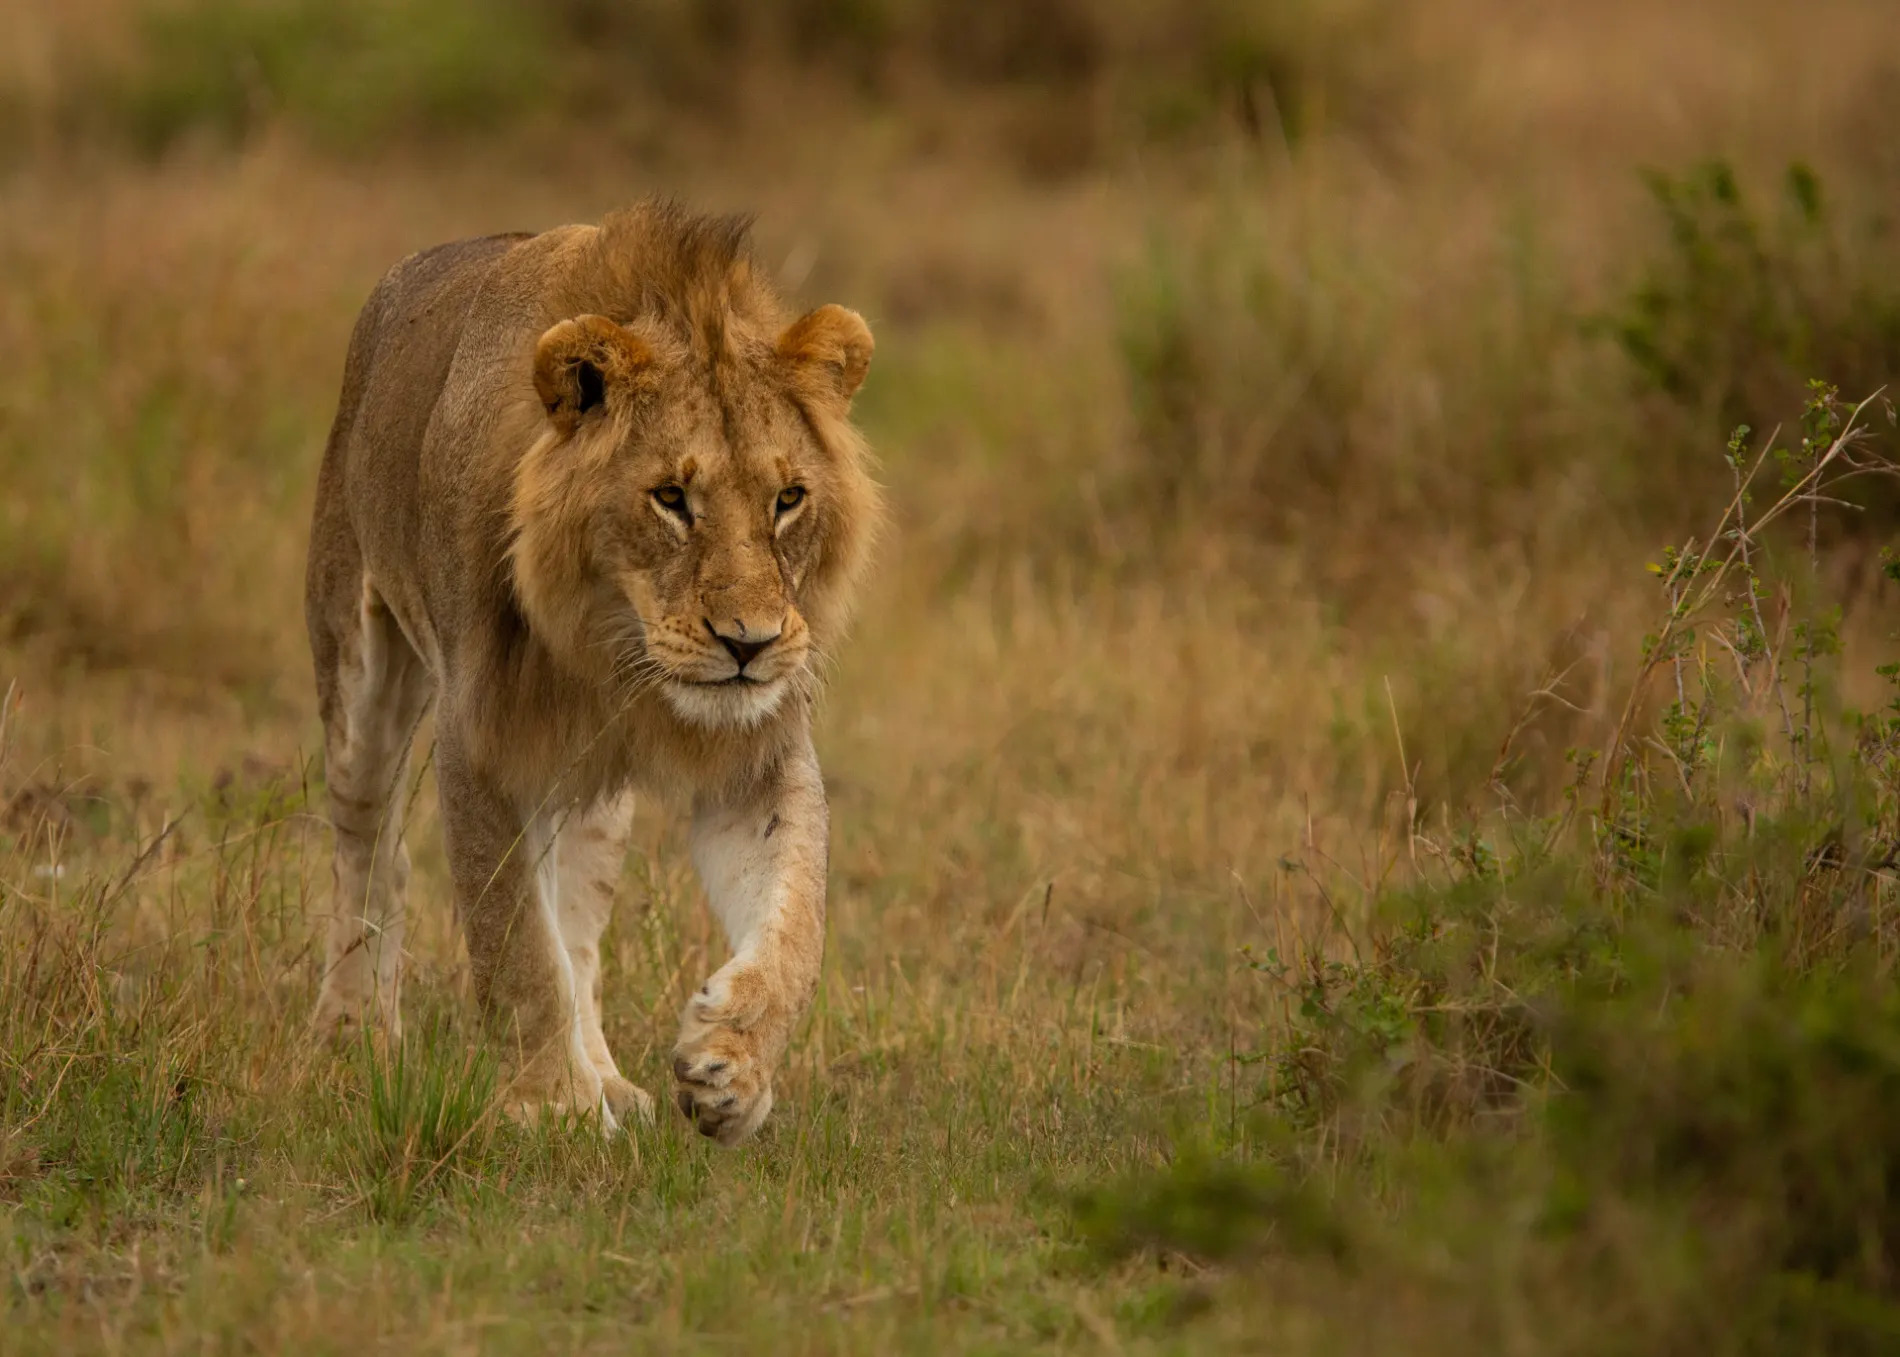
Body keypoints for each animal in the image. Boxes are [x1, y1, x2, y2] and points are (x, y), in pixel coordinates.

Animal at [305, 198, 881, 1140]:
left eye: (788, 498)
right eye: (671, 498)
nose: (750, 643)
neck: (612, 648)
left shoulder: (758, 748)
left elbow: (798, 918)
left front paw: (732, 1067)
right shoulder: (480, 744)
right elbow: (515, 947)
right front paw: (555, 1108)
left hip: (593, 804)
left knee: (577, 928)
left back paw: (612, 1078)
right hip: (358, 660)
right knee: (369, 849)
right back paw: (352, 1033)